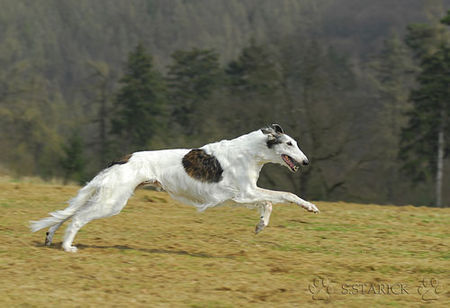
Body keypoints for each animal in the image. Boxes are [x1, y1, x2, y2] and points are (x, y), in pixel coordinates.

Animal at [29, 124, 318, 251]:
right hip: (112, 202)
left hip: (106, 197)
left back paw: (50, 238)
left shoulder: (244, 195)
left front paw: (260, 225)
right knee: (77, 219)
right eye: (289, 143)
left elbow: (268, 203)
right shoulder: (244, 192)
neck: (250, 152)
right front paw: (310, 207)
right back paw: (68, 247)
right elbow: (286, 195)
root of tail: (121, 159)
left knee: (66, 215)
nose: (306, 161)